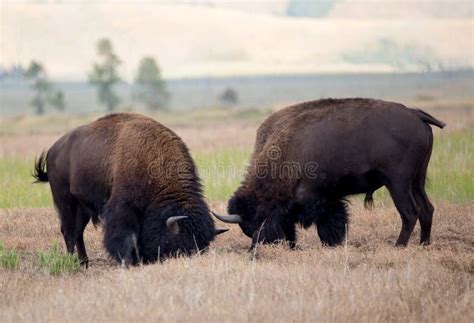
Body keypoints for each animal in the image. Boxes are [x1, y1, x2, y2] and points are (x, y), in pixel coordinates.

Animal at [33, 112, 226, 268]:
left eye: (202, 248)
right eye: (177, 245)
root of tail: (53, 150)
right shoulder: (123, 208)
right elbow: (126, 235)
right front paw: (127, 261)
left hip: (83, 207)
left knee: (78, 232)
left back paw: (84, 263)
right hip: (65, 201)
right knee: (69, 231)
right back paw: (73, 262)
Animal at [213, 98, 446, 251]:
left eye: (256, 221)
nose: (256, 247)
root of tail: (416, 114)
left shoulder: (322, 200)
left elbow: (328, 226)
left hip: (397, 183)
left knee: (410, 212)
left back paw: (399, 246)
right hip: (417, 181)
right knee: (427, 209)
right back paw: (424, 245)